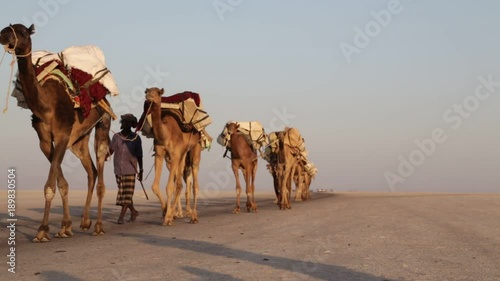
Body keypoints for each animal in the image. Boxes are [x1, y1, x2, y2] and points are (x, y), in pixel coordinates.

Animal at [0, 23, 111, 241]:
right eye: (7, 28)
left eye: (22, 32)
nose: (3, 36)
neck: (46, 105)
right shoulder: (45, 141)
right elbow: (61, 184)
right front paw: (65, 227)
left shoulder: (62, 135)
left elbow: (51, 185)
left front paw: (43, 230)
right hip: (79, 140)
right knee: (92, 171)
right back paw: (85, 222)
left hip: (103, 123)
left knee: (101, 176)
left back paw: (98, 226)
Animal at [145, 86, 201, 224]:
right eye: (146, 91)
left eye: (158, 92)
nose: (149, 96)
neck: (165, 135)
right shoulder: (160, 155)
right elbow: (155, 186)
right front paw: (166, 211)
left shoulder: (175, 155)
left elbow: (170, 187)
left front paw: (168, 217)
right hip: (180, 156)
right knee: (180, 183)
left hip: (195, 147)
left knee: (194, 183)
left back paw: (193, 216)